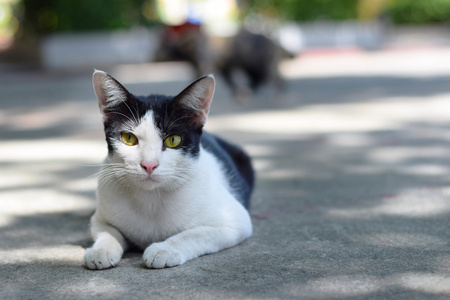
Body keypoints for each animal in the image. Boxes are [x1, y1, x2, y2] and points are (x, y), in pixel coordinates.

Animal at [83, 69, 253, 270]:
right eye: (129, 138)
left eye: (173, 140)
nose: (149, 164)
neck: (150, 198)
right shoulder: (100, 218)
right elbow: (108, 231)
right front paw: (102, 249)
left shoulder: (236, 221)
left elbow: (196, 233)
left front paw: (164, 249)